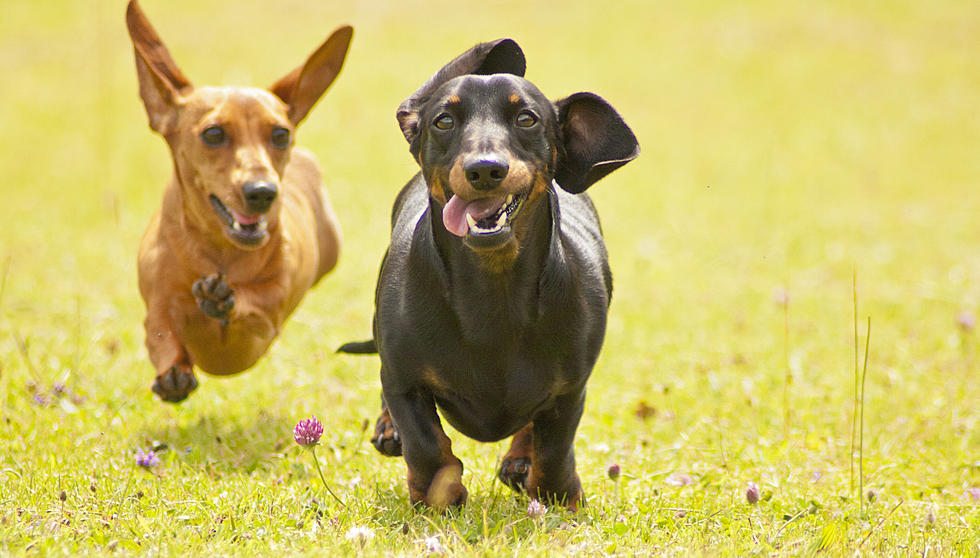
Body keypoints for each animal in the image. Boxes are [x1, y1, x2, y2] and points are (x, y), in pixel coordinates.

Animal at [124, 0, 350, 402]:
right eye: (213, 133)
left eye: (280, 134)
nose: (262, 192)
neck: (220, 253)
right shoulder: (157, 310)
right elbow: (163, 332)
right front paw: (174, 371)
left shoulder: (264, 325)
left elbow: (252, 304)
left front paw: (221, 299)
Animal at [340, 39, 640, 512]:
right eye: (443, 120)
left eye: (527, 118)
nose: (484, 169)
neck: (492, 293)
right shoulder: (403, 380)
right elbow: (425, 444)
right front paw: (438, 497)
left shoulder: (570, 389)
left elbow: (554, 446)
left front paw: (557, 497)